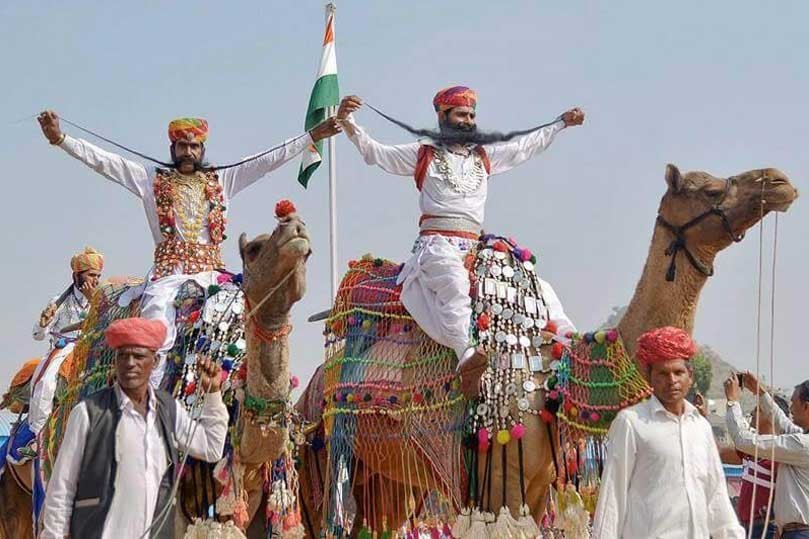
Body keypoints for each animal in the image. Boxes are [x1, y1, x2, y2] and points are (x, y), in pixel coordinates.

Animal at [296, 163, 796, 536]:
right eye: (710, 188)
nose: (778, 180)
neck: (550, 380)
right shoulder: (501, 488)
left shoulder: (537, 491)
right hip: (320, 461)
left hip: (390, 477)